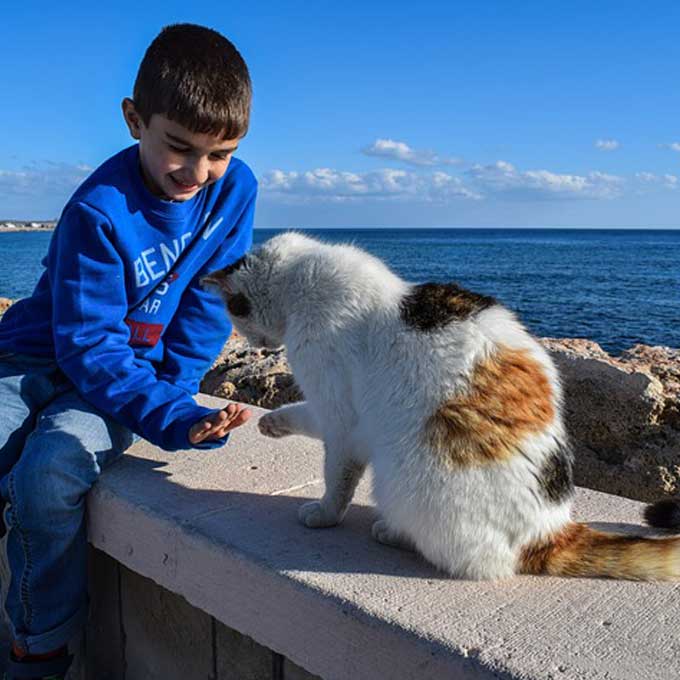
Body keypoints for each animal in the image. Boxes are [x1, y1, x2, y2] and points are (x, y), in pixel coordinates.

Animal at [202, 232, 680, 580]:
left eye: (234, 313)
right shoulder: (336, 414)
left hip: (405, 477)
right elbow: (304, 415)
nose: (254, 343)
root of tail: (551, 531)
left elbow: (337, 475)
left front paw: (323, 513)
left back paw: (391, 532)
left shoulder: (341, 415)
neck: (301, 281)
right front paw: (273, 422)